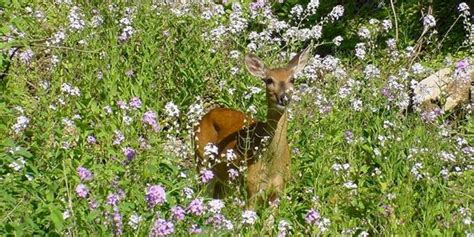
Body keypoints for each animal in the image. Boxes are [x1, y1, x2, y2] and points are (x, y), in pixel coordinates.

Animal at [193, 45, 312, 206]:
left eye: (292, 79)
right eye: (269, 80)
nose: (284, 97)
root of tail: (206, 115)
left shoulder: (278, 191)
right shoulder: (252, 187)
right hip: (202, 161)